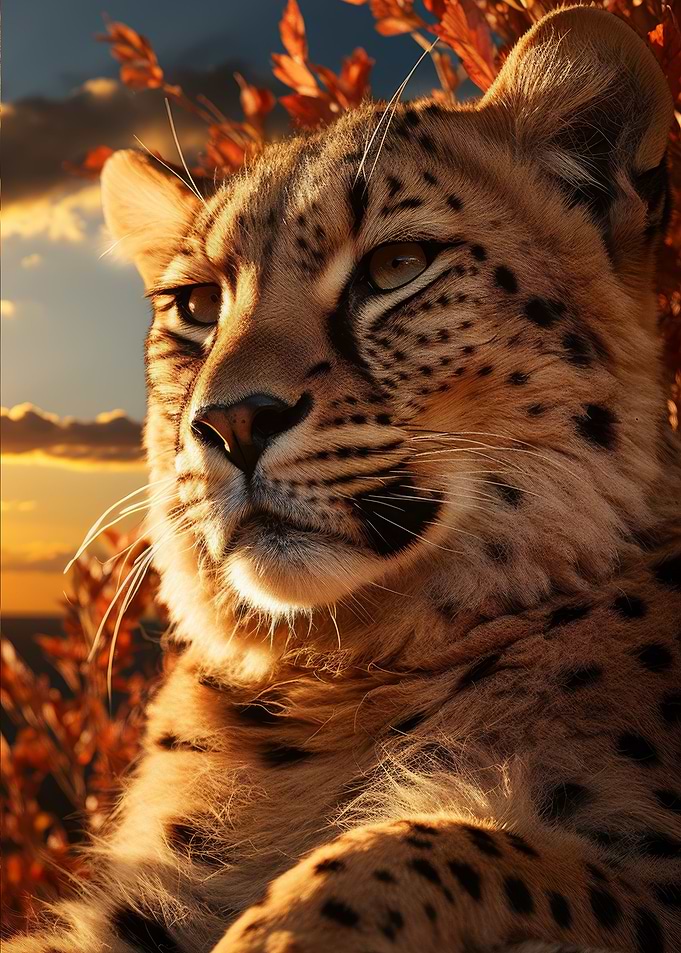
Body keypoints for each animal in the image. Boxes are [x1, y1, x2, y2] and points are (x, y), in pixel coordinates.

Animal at [8, 6, 680, 953]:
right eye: (196, 307)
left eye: (397, 267)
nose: (230, 423)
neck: (336, 678)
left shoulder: (646, 877)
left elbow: (440, 844)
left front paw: (276, 926)